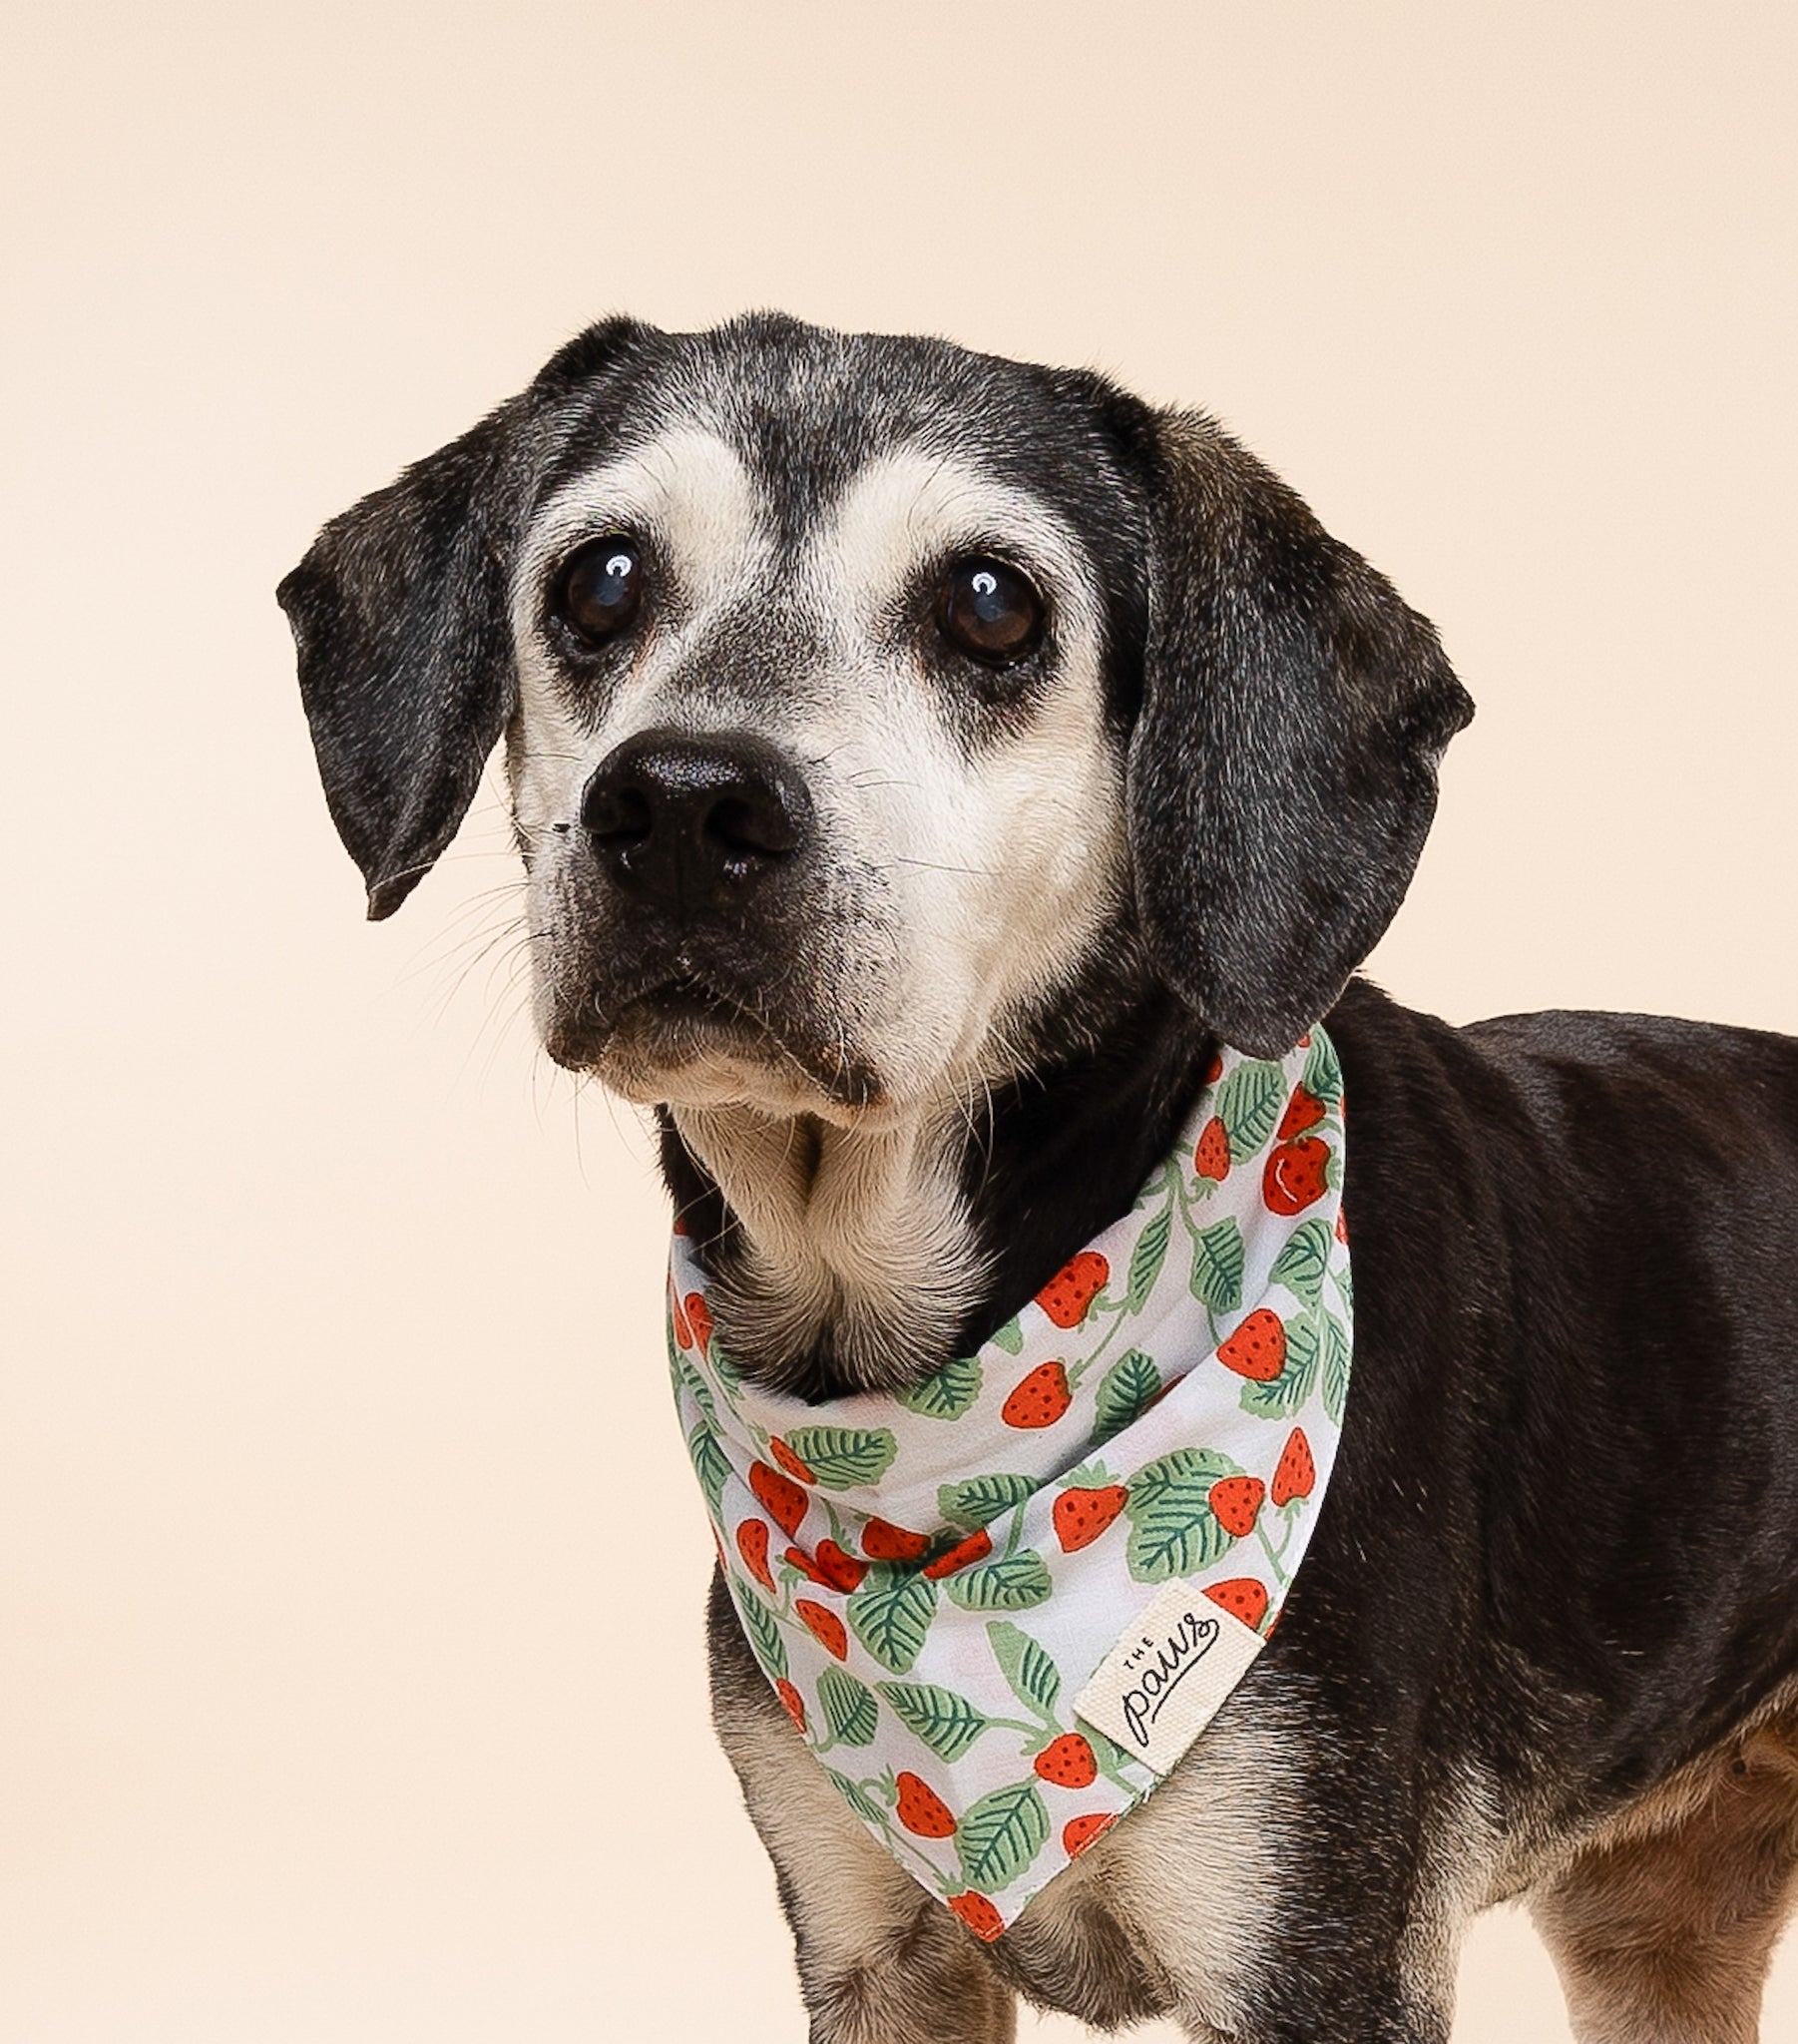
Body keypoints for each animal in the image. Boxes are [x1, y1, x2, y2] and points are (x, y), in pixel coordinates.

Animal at [277, 310, 1798, 2035]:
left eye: (991, 605)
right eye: (597, 580)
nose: (678, 802)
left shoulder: (1314, 1948)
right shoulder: (869, 1942)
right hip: (1651, 1918)